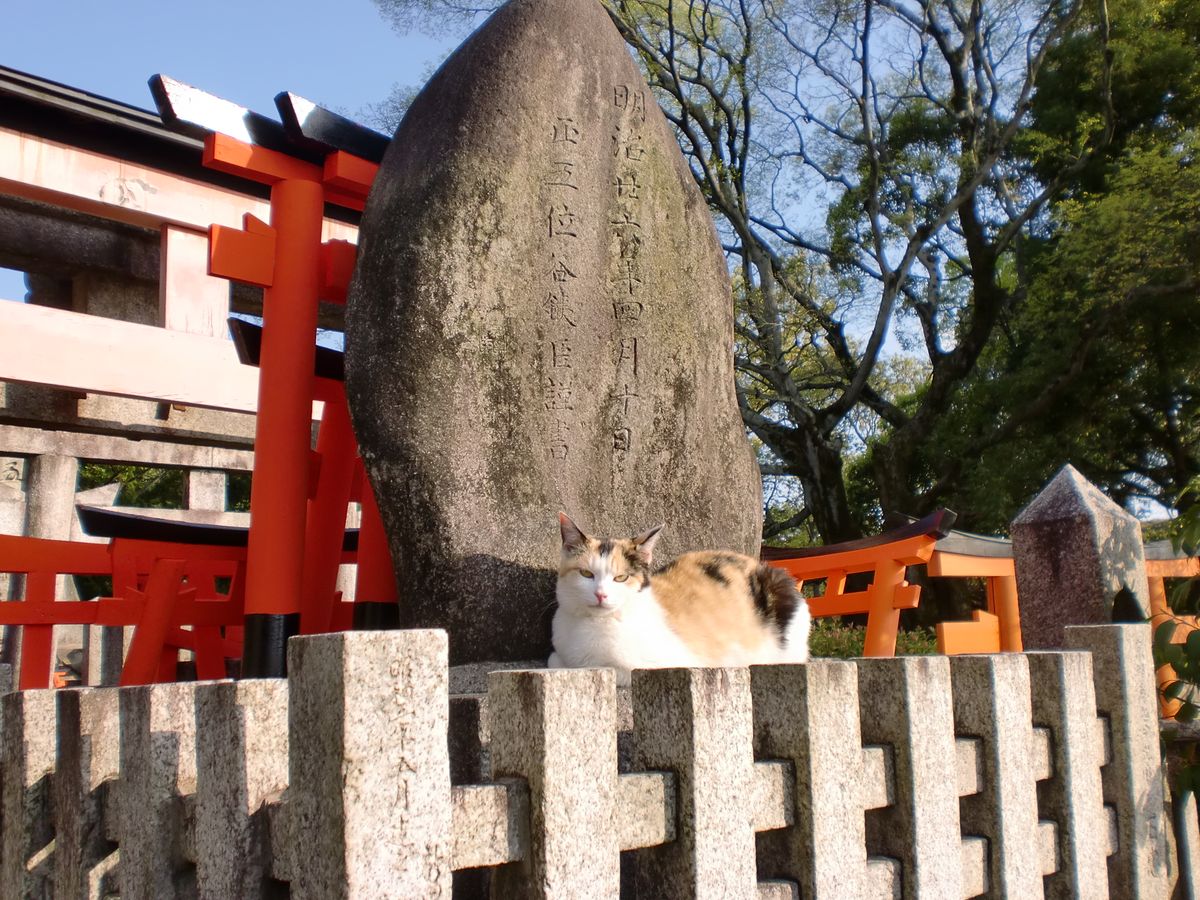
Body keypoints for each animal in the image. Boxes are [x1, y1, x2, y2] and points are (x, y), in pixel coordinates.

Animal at [549, 513, 811, 691]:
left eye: (621, 578)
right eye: (586, 574)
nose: (601, 594)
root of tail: (759, 563)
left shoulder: (660, 663)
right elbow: (554, 659)